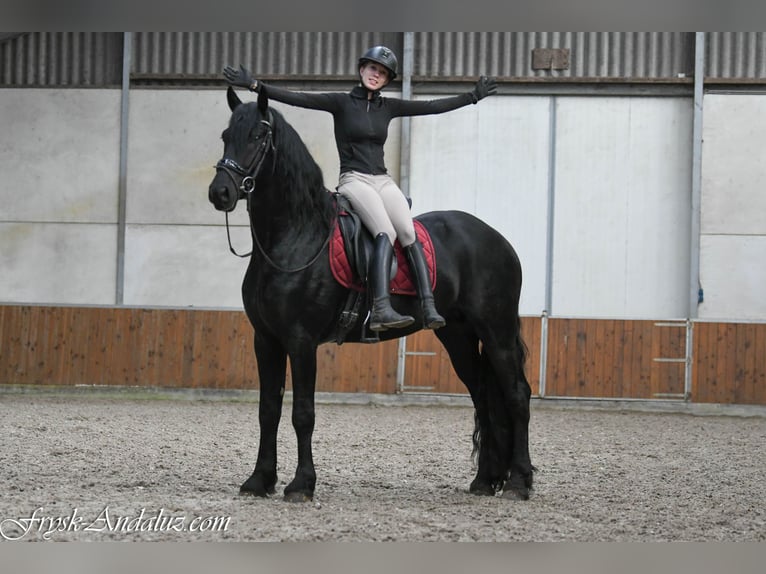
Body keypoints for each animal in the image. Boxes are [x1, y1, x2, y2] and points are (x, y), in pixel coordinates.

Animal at [208, 86, 534, 502]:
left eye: (257, 136)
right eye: (225, 136)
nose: (220, 192)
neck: (295, 236)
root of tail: (496, 238)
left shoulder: (300, 340)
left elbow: (303, 413)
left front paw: (301, 485)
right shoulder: (265, 340)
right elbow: (268, 410)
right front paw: (259, 480)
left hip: (497, 331)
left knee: (516, 395)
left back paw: (519, 482)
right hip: (458, 335)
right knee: (483, 395)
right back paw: (485, 480)